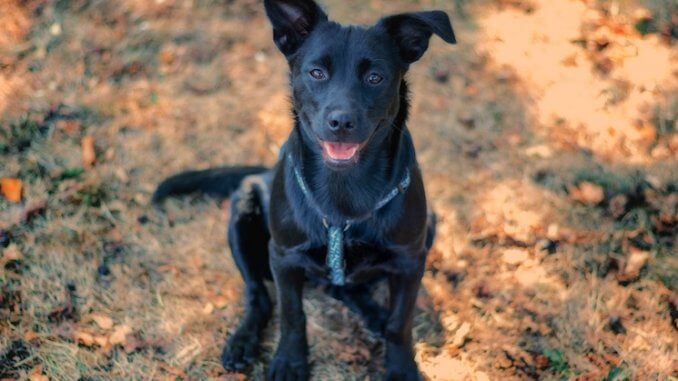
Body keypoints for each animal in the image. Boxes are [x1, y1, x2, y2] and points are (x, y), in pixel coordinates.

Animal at [154, 1, 456, 378]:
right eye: (316, 73)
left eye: (375, 77)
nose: (341, 122)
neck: (344, 191)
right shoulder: (284, 257)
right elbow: (292, 314)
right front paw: (289, 360)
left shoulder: (409, 260)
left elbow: (399, 323)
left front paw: (400, 368)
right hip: (243, 214)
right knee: (259, 295)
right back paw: (243, 341)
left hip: (429, 222)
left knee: (342, 288)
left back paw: (372, 313)